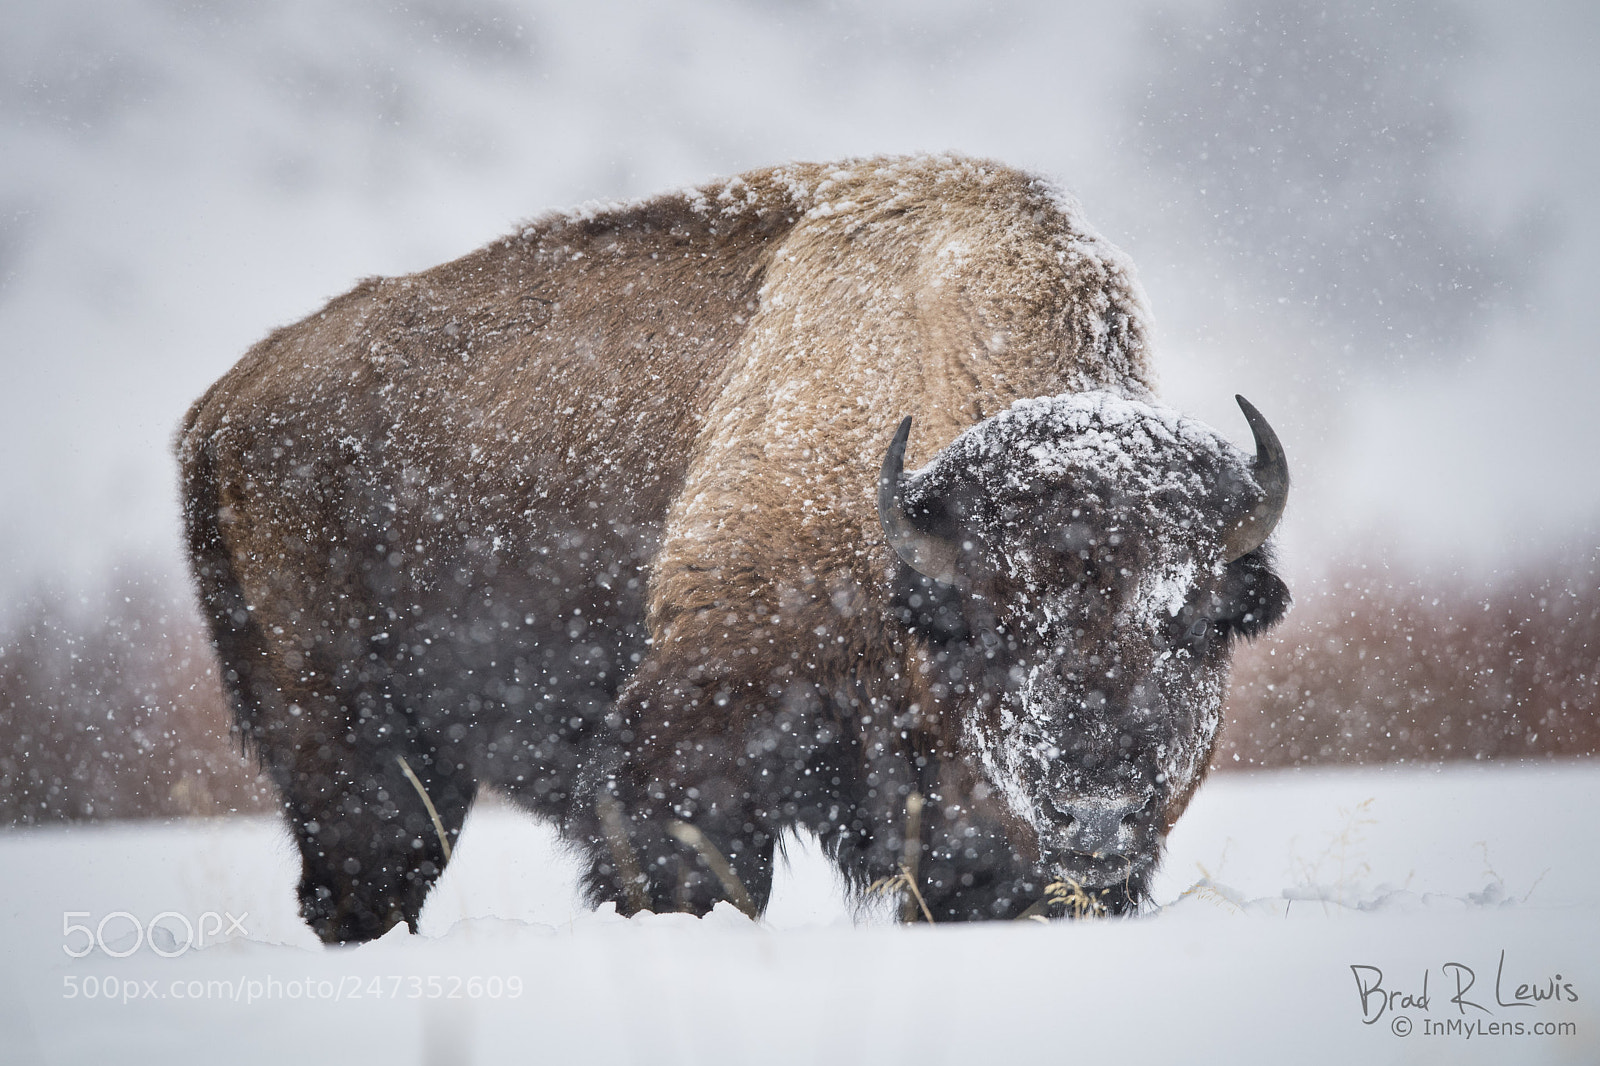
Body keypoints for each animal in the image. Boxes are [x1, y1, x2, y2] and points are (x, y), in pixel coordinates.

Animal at [178, 154, 1288, 942]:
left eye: (1196, 619)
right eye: (990, 623)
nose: (1097, 815)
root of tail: (226, 401)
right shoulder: (695, 749)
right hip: (346, 739)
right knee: (368, 869)